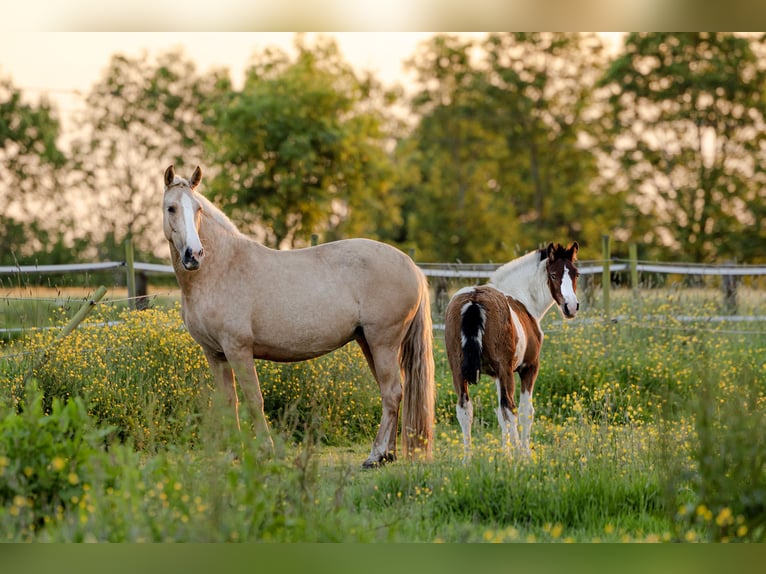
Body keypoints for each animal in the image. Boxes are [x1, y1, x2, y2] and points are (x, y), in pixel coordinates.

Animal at [162, 165, 438, 468]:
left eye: (198, 209)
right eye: (171, 208)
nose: (194, 254)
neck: (221, 268)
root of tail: (411, 265)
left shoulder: (238, 349)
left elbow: (254, 399)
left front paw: (265, 450)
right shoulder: (215, 353)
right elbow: (229, 402)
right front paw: (233, 453)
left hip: (383, 342)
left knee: (391, 393)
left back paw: (375, 455)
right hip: (369, 342)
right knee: (391, 393)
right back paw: (388, 454)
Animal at [444, 245, 584, 462]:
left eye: (576, 274)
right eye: (553, 275)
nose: (571, 307)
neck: (522, 298)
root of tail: (473, 301)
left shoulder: (496, 375)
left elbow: (500, 413)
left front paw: (505, 453)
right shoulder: (528, 368)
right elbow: (525, 411)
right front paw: (523, 454)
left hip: (458, 370)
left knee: (465, 409)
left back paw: (468, 459)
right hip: (506, 371)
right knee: (511, 408)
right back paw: (519, 453)